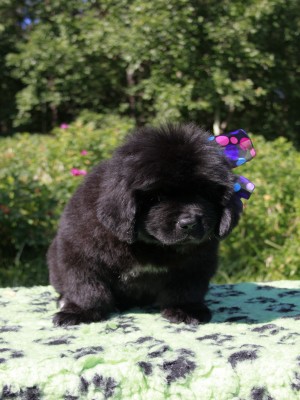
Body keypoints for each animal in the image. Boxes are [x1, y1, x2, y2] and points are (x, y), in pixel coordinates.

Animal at [48, 123, 243, 326]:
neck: (152, 245)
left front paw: (186, 310)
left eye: (203, 194)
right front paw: (80, 312)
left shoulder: (196, 262)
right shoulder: (80, 254)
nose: (189, 223)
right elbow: (86, 287)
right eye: (157, 197)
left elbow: (187, 288)